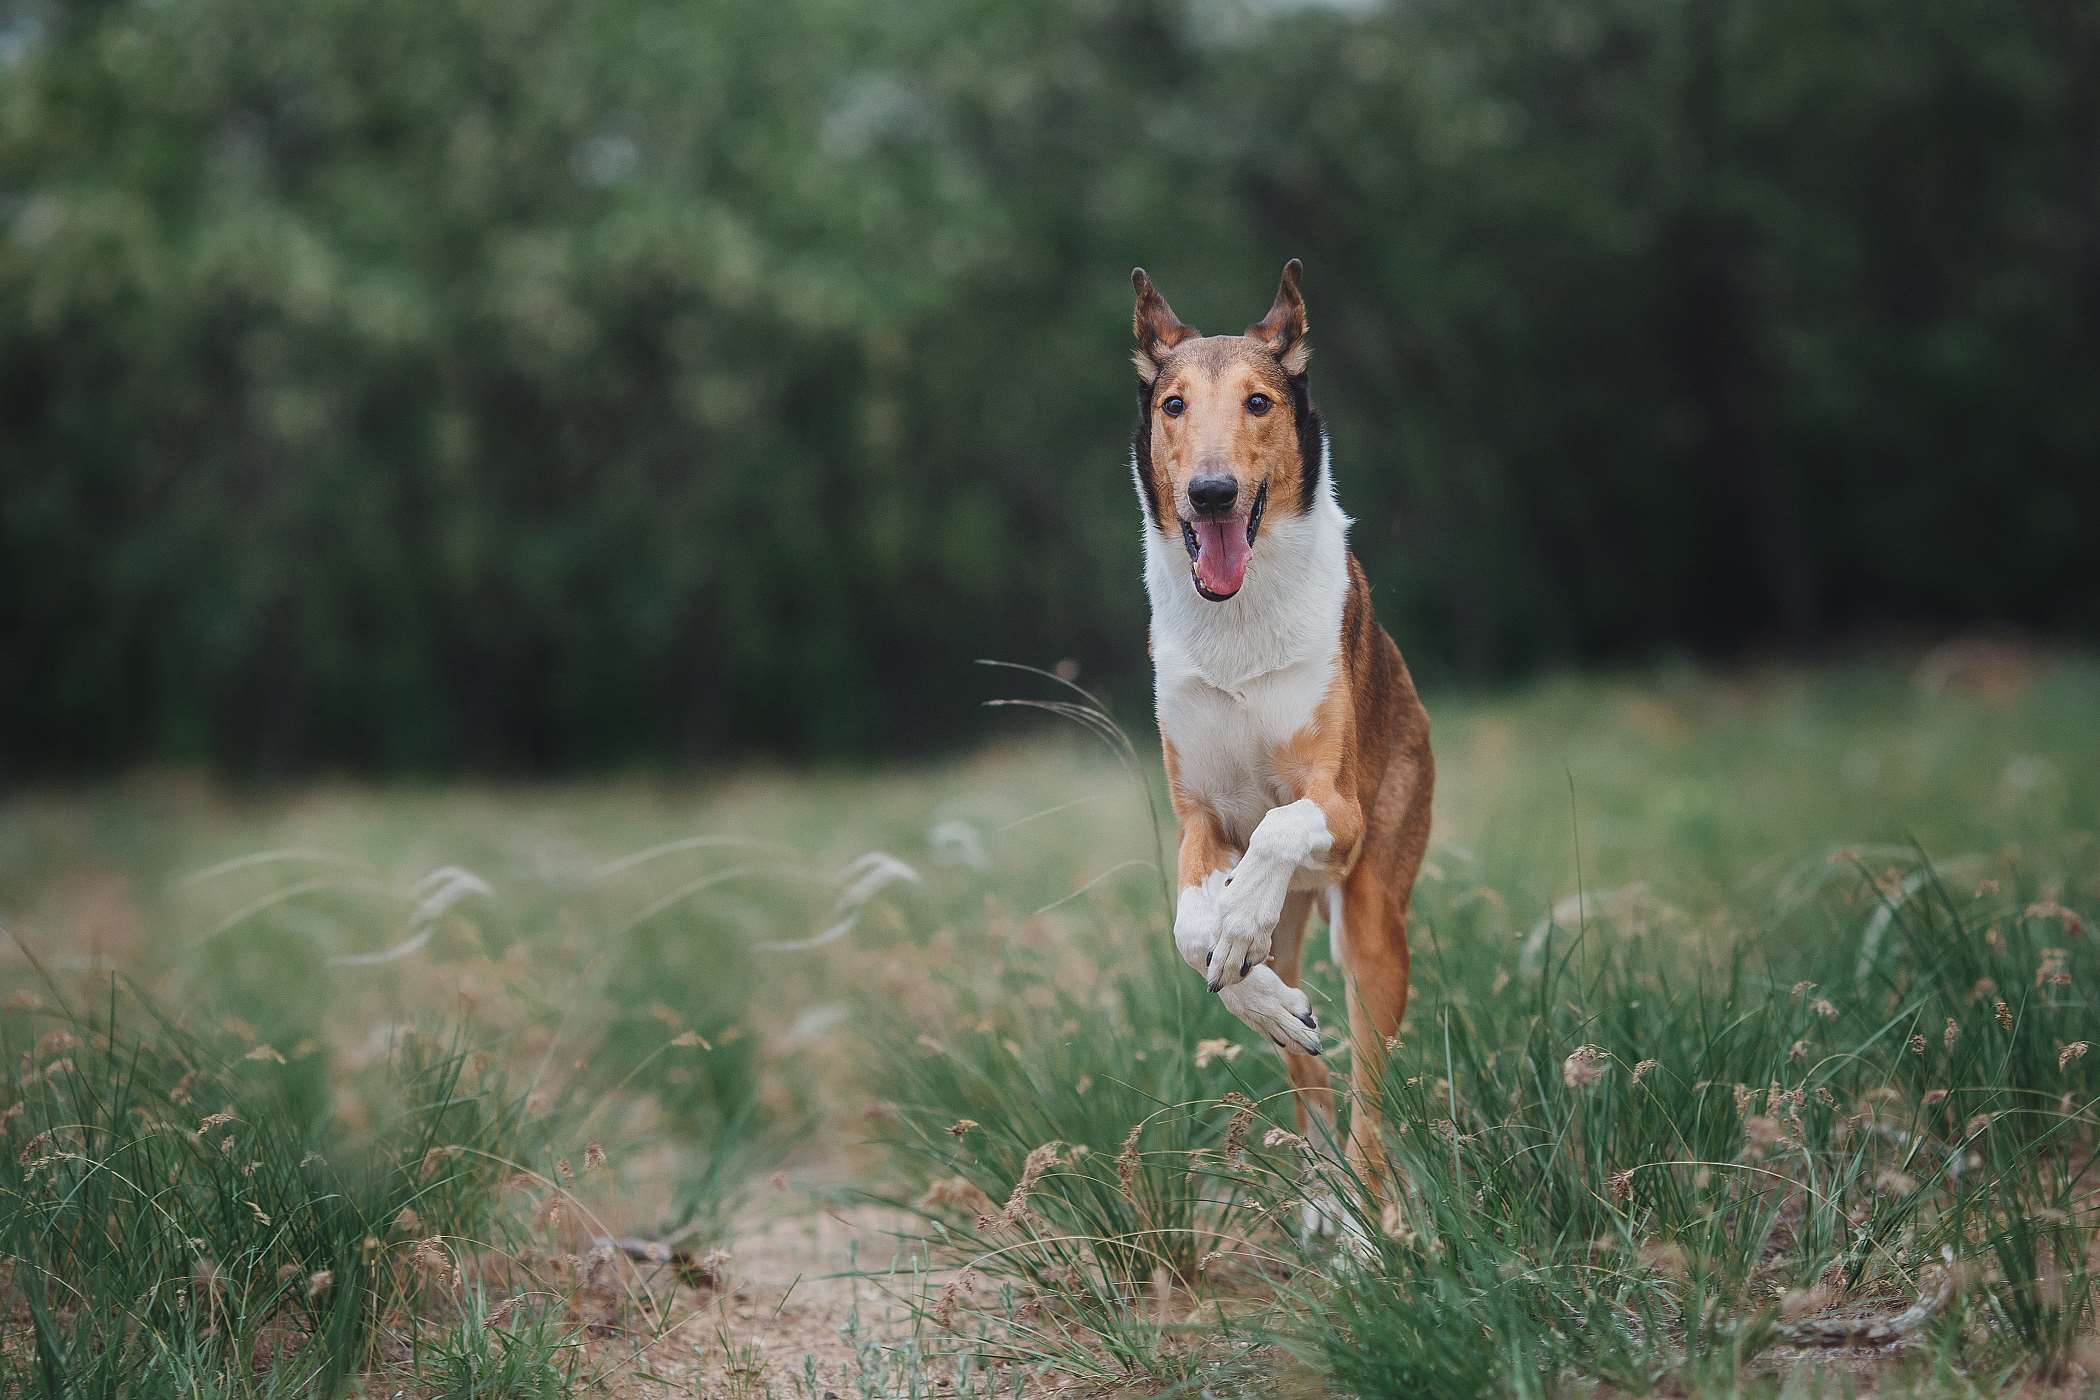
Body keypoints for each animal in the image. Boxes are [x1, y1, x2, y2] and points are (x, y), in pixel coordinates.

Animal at [1134, 262, 1427, 1208]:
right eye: (1175, 405)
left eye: (1258, 402)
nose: (1212, 493)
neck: (1239, 621)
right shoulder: (1198, 817)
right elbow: (1191, 930)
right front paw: (1237, 961)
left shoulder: (1338, 812)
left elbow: (1278, 826)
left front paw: (1236, 921)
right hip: (1302, 936)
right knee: (1314, 1083)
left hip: (1372, 925)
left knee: (1370, 1106)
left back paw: (1368, 1226)